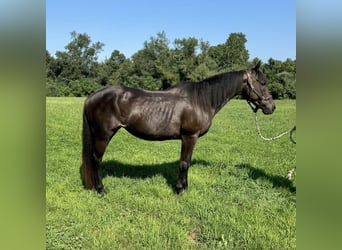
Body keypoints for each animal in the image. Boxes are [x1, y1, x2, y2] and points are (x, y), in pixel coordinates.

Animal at [81, 61, 276, 194]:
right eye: (263, 83)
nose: (271, 107)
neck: (201, 100)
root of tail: (92, 96)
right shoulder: (189, 136)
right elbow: (183, 163)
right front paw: (180, 189)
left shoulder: (191, 138)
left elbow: (187, 162)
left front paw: (185, 187)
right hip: (103, 135)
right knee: (96, 160)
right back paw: (101, 189)